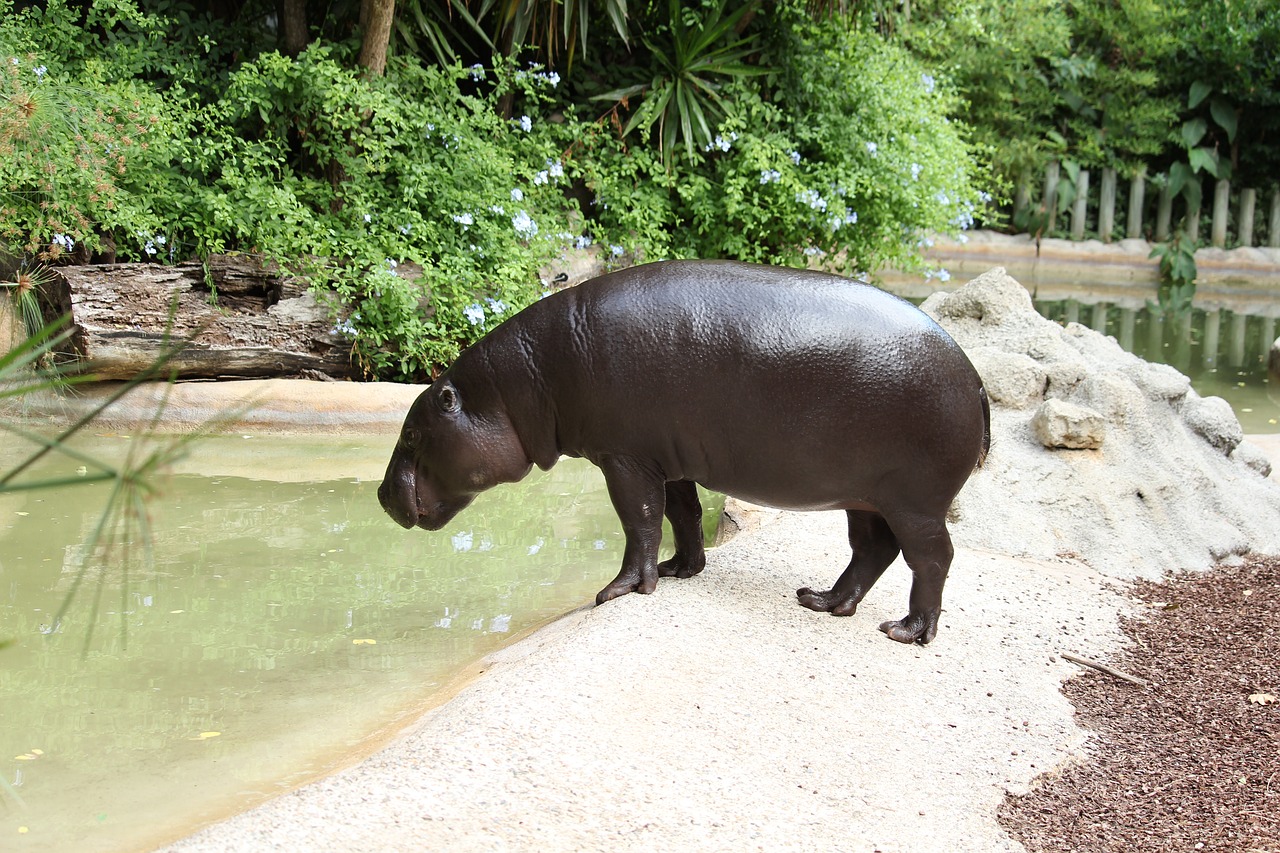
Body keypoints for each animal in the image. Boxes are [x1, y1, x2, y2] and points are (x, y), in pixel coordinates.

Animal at [378, 256, 988, 640]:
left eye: (411, 433)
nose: (382, 496)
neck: (519, 384)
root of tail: (977, 381)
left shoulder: (624, 458)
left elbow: (639, 520)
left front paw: (620, 591)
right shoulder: (665, 457)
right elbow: (681, 513)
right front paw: (681, 571)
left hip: (916, 502)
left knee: (932, 558)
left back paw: (907, 632)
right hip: (866, 498)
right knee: (871, 551)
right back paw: (823, 602)